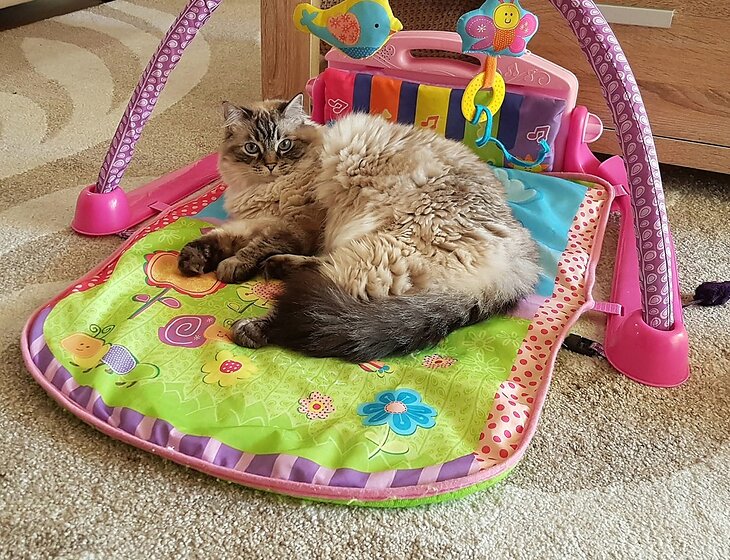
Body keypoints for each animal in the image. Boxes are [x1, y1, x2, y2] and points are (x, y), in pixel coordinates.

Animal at [178, 94, 540, 362]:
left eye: (284, 145)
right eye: (252, 148)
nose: (269, 165)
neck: (265, 189)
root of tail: (521, 259)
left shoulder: (294, 226)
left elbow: (252, 247)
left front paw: (231, 267)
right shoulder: (258, 219)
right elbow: (219, 237)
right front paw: (192, 261)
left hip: (376, 252)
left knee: (316, 303)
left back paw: (254, 321)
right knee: (317, 268)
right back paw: (276, 268)